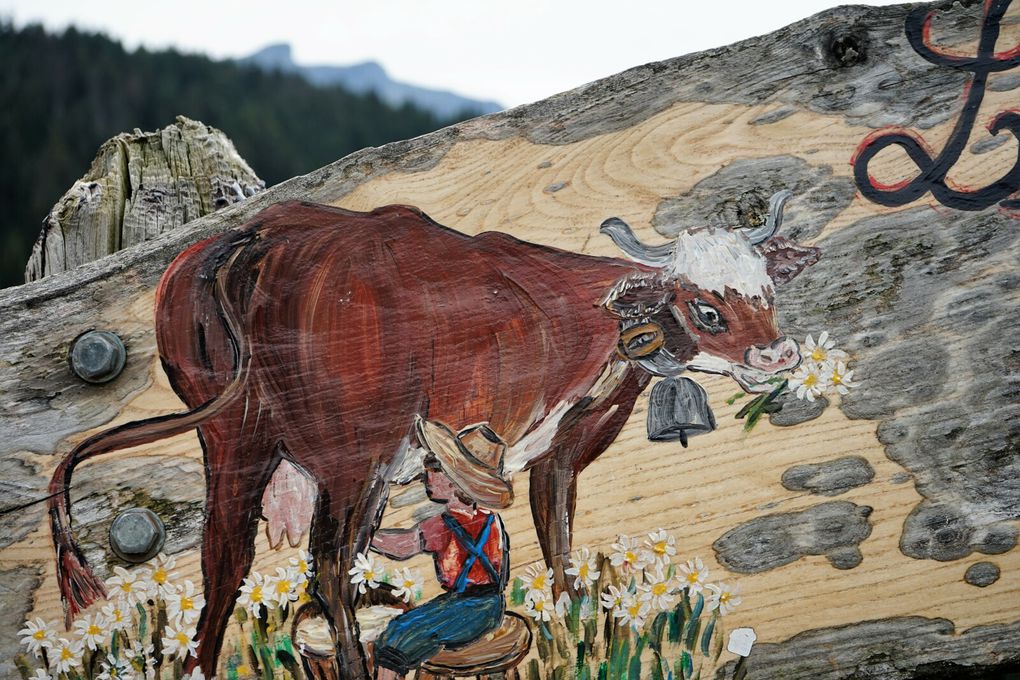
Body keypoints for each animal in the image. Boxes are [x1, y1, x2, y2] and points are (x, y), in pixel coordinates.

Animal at [49, 192, 820, 680]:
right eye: (705, 307)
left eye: (766, 293)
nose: (779, 356)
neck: (594, 315)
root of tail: (259, 232)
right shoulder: (558, 448)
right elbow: (557, 541)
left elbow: (553, 547)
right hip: (349, 451)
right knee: (323, 560)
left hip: (234, 441)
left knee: (226, 558)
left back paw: (203, 667)